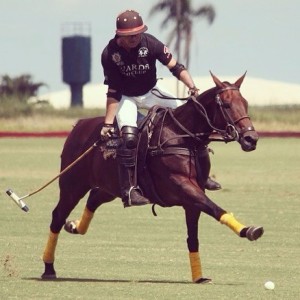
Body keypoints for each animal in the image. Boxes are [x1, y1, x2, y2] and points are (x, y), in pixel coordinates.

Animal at [41, 73, 262, 284]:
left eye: (245, 103)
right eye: (226, 104)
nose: (251, 139)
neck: (182, 137)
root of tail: (79, 124)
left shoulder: (192, 198)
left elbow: (193, 237)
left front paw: (199, 277)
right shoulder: (183, 185)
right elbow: (215, 209)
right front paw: (249, 230)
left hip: (110, 187)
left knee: (94, 199)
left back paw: (74, 226)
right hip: (72, 185)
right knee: (57, 216)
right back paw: (49, 268)